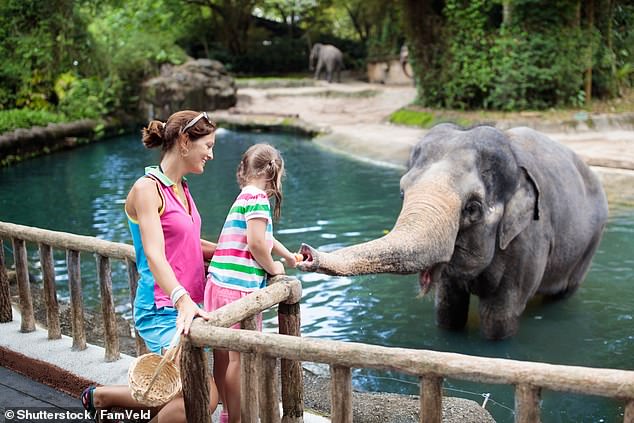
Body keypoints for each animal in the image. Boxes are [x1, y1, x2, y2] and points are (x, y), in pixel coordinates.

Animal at [298, 123, 608, 342]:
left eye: (472, 207)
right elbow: (447, 310)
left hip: (590, 242)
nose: (306, 253)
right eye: (402, 192)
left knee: (564, 292)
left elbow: (498, 318)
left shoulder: (529, 239)